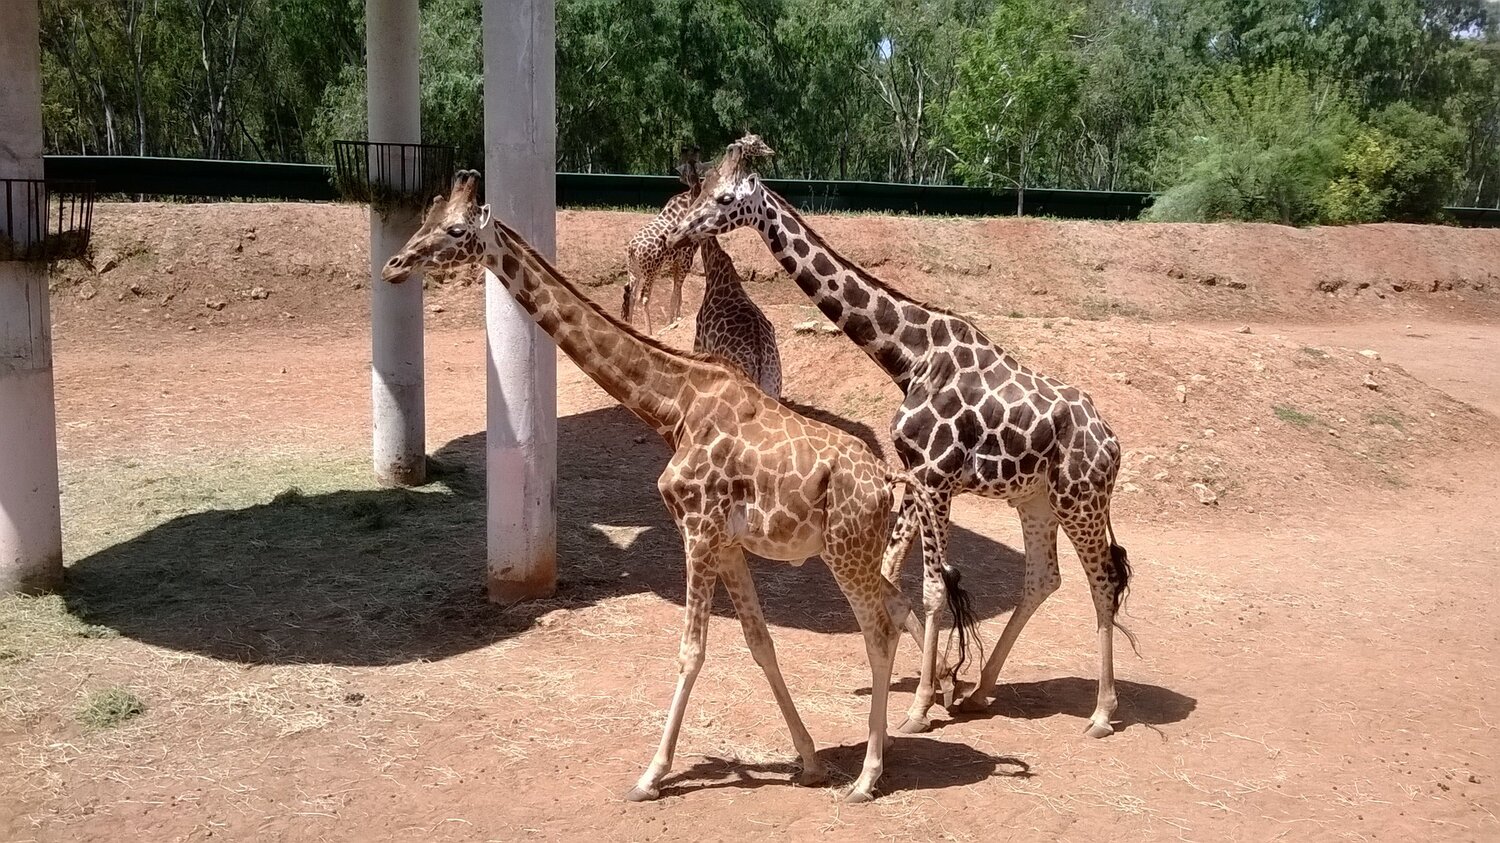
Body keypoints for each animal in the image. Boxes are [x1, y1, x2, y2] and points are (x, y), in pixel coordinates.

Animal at [621, 146, 706, 334]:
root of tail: (632, 248)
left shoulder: (676, 262)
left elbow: (677, 293)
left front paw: (674, 320)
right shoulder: (685, 260)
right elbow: (677, 292)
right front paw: (672, 321)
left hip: (635, 271)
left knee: (631, 295)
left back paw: (630, 326)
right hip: (651, 270)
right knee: (643, 297)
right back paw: (649, 332)